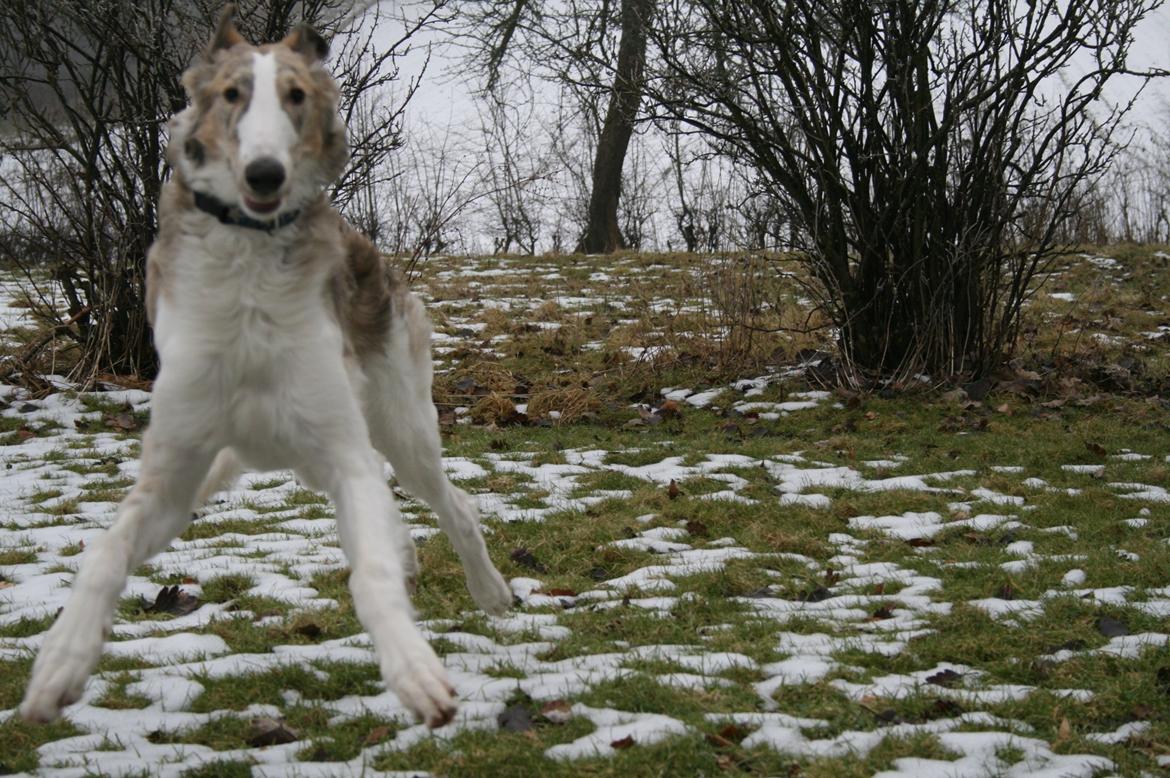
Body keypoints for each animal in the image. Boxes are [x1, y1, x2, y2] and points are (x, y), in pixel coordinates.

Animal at [19, 6, 512, 730]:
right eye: (232, 95)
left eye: (296, 96)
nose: (264, 175)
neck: (248, 285)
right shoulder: (173, 476)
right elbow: (104, 551)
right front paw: (61, 663)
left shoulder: (343, 451)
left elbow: (369, 573)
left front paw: (414, 672)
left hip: (401, 428)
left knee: (455, 505)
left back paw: (490, 589)